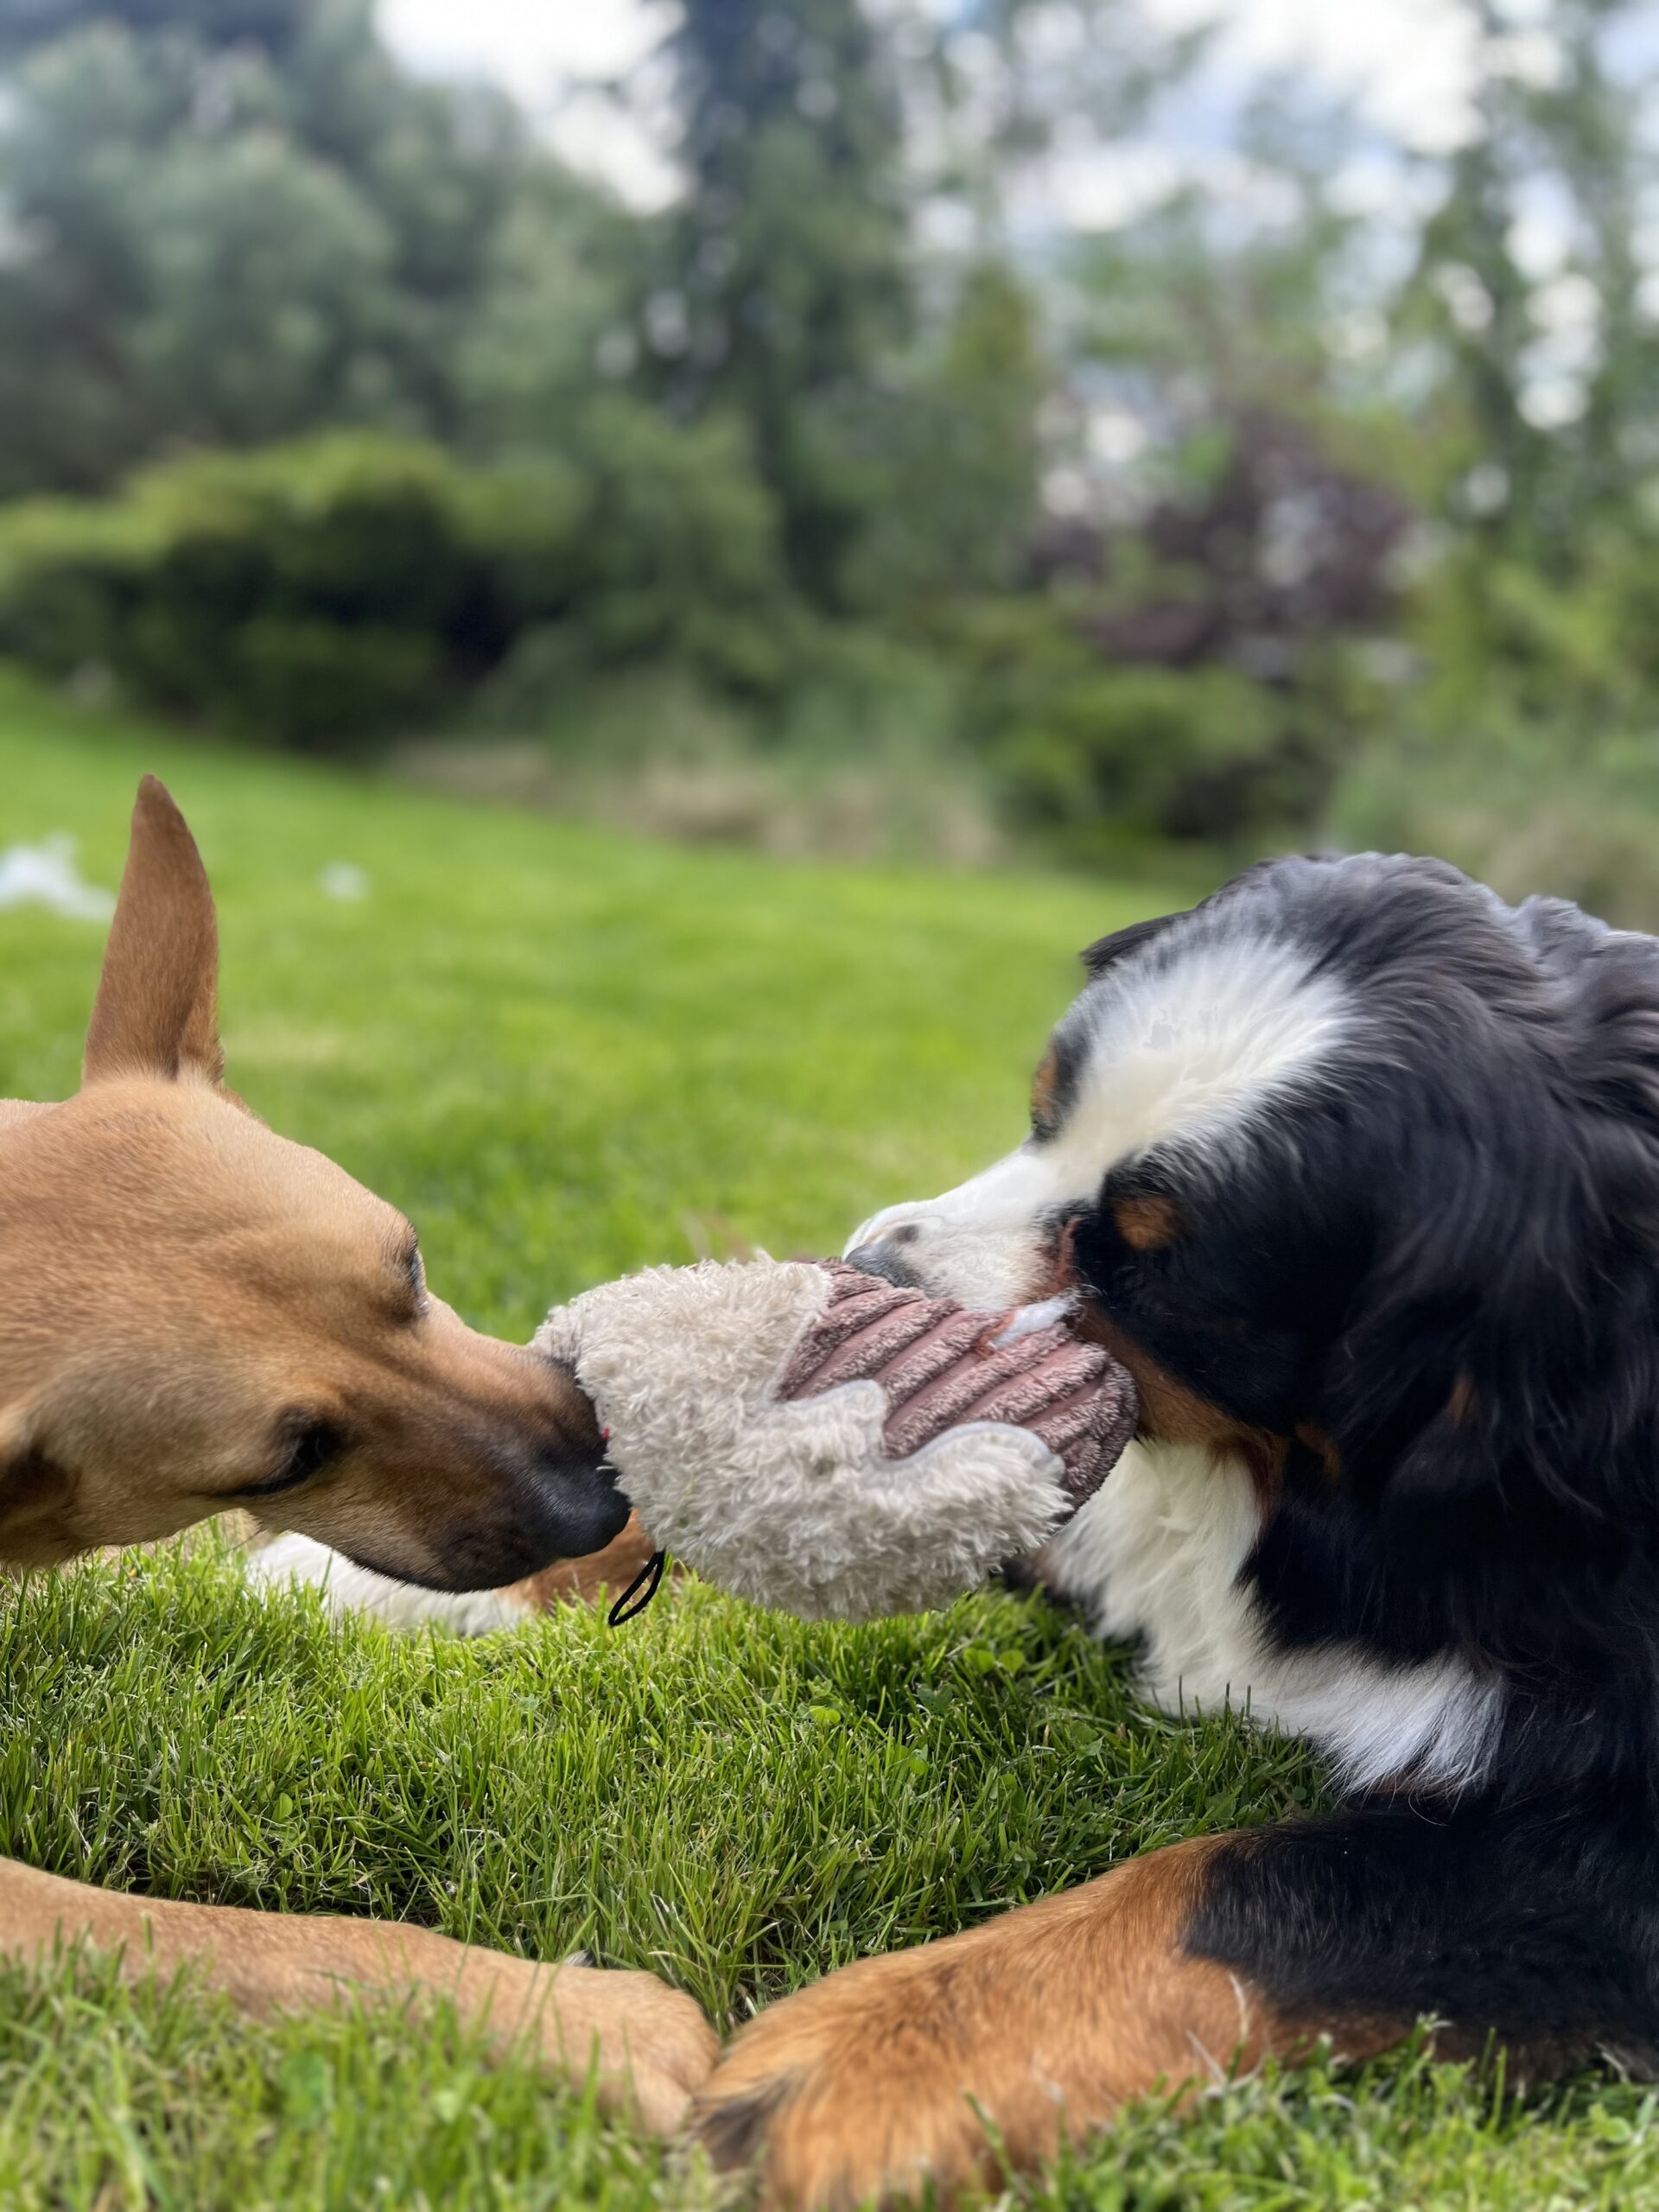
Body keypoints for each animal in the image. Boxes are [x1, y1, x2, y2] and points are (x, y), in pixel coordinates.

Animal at [690, 849, 1659, 2203]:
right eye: (1039, 1115)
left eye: (1153, 1270)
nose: (869, 1271)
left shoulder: (1611, 1851)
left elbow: (1235, 1883)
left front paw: (860, 2056)